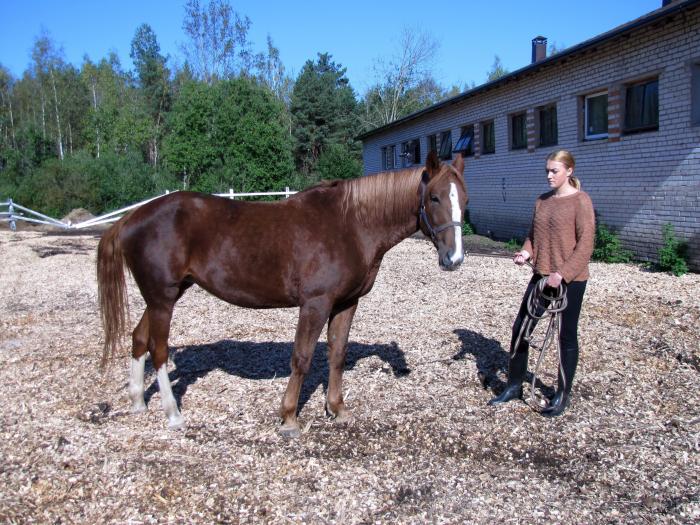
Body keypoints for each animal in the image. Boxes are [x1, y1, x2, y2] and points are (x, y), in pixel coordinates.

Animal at [97, 149, 470, 436]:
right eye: (434, 197)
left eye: (464, 200)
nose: (454, 259)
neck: (351, 224)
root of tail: (131, 219)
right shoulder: (315, 304)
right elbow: (302, 357)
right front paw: (289, 417)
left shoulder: (346, 303)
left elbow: (337, 354)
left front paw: (337, 409)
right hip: (163, 299)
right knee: (158, 350)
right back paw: (173, 414)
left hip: (162, 296)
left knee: (138, 339)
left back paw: (138, 402)